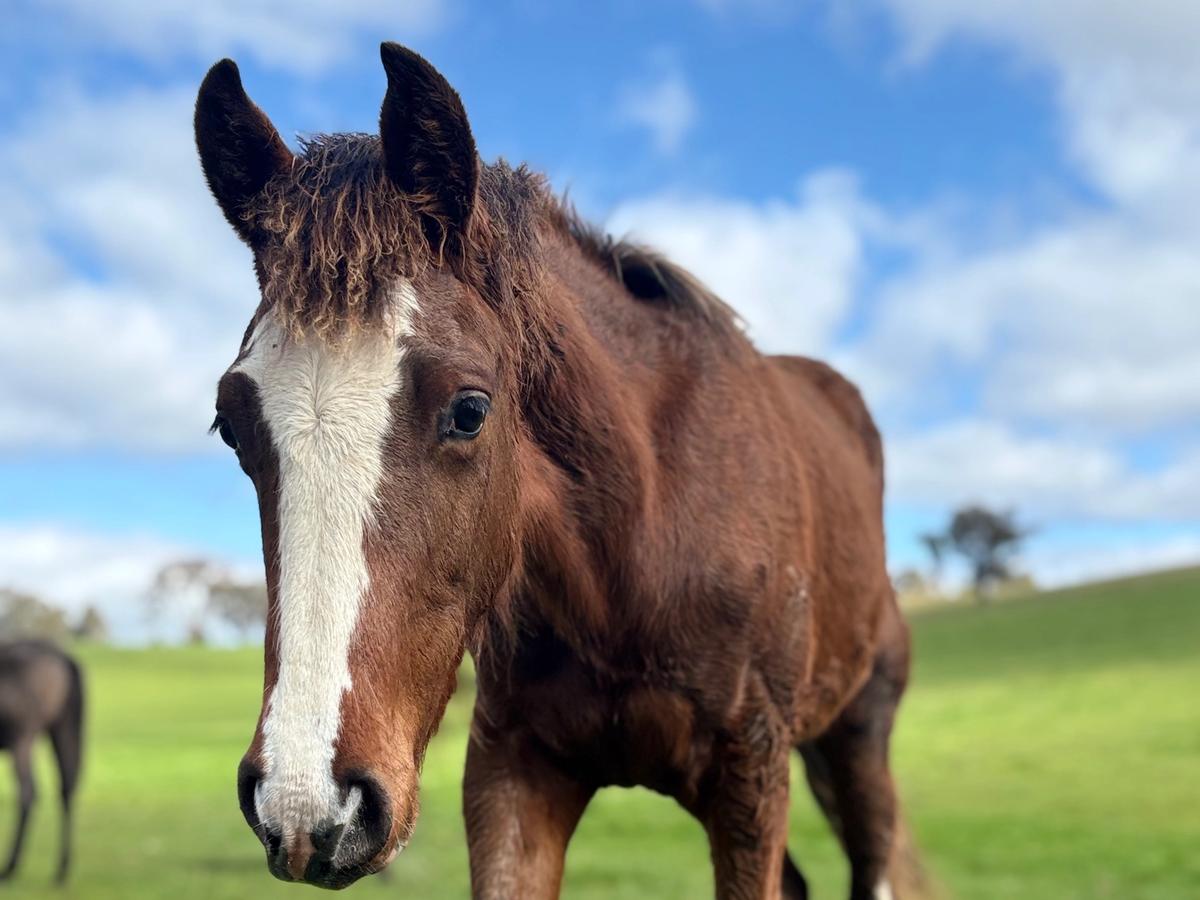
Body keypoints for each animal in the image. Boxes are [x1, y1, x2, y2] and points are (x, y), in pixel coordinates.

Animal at [0, 641, 84, 883]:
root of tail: (63, 656)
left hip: (22, 738)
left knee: (28, 793)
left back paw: (10, 867)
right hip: (61, 729)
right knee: (66, 790)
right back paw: (61, 870)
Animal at [194, 42, 928, 900]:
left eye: (469, 410)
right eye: (231, 426)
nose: (309, 803)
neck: (641, 540)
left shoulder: (752, 772)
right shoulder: (513, 774)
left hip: (858, 741)